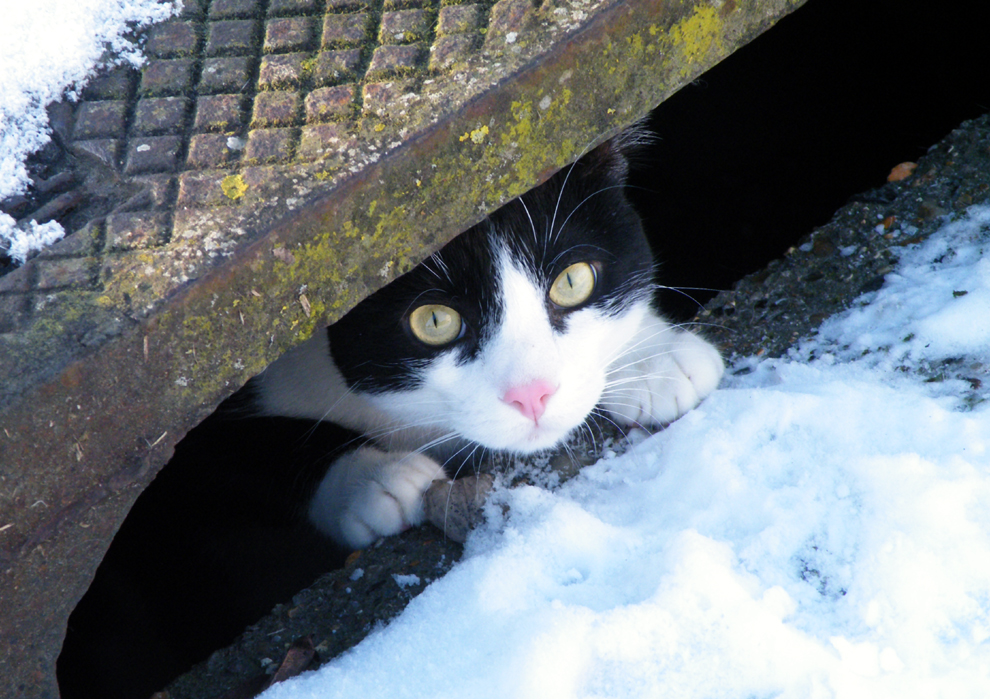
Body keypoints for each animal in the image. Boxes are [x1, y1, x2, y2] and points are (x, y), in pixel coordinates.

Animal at [60, 133, 728, 699]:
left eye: (572, 281)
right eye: (433, 321)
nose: (533, 393)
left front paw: (656, 357)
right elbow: (255, 446)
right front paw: (375, 479)